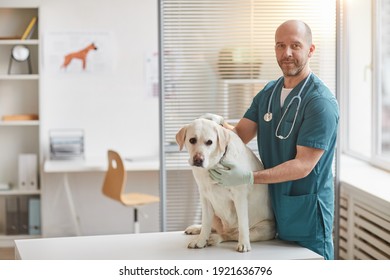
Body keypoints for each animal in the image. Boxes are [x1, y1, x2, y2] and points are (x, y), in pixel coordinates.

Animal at [175, 117, 276, 253]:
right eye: (192, 140)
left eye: (209, 142)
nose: (198, 160)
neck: (214, 165)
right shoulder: (205, 198)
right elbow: (206, 223)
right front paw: (200, 241)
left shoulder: (240, 197)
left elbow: (243, 224)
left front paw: (244, 244)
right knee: (214, 227)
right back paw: (198, 229)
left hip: (265, 228)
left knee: (230, 234)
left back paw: (215, 238)